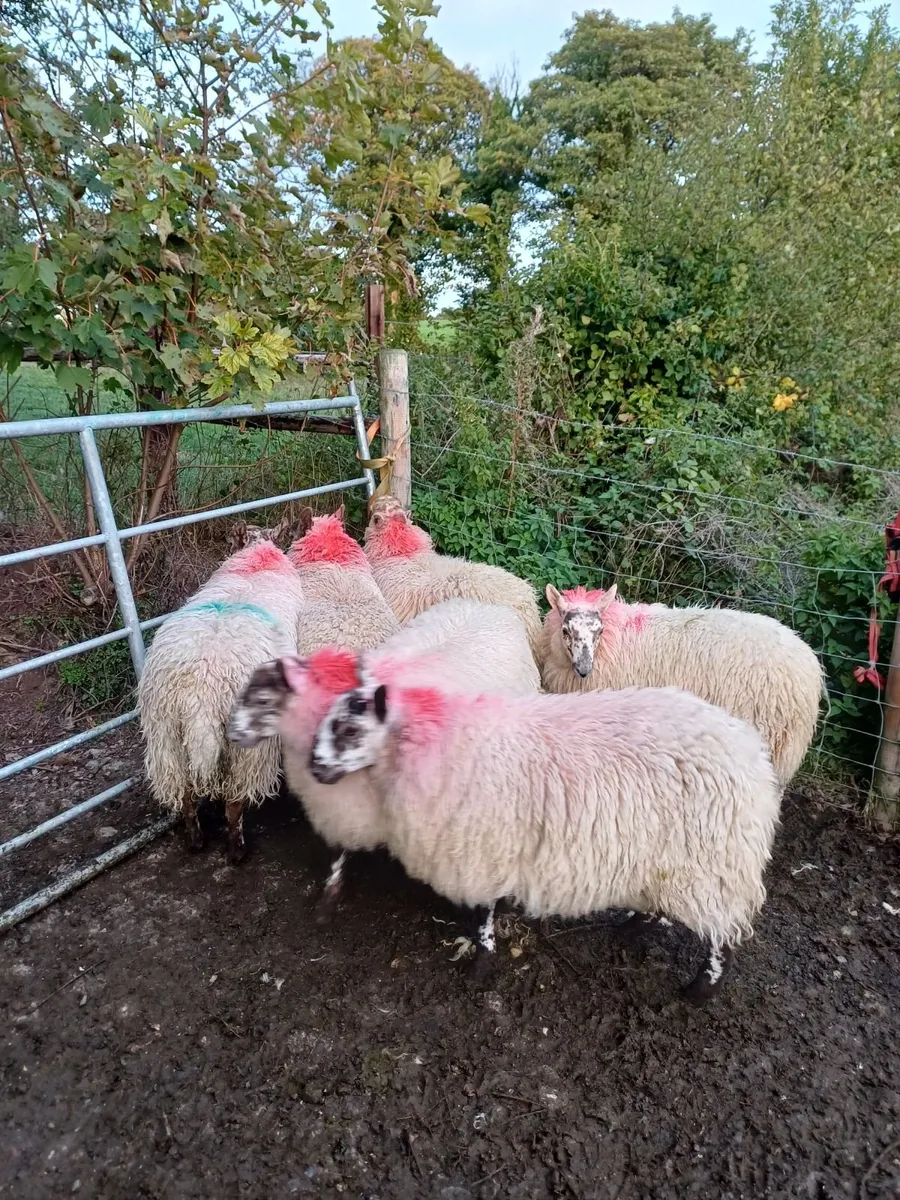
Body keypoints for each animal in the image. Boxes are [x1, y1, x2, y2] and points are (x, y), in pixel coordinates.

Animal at [138, 529, 307, 863]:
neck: (256, 560)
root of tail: (200, 693)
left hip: (165, 738)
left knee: (186, 798)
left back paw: (195, 841)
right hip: (248, 750)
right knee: (234, 803)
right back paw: (236, 851)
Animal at [227, 599, 541, 917]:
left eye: (263, 699)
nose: (232, 733)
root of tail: (491, 606)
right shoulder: (339, 808)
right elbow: (338, 851)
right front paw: (331, 892)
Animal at [307, 677, 781, 1002]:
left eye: (349, 729)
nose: (315, 768)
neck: (432, 741)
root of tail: (751, 753)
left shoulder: (480, 851)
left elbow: (482, 915)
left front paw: (480, 966)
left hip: (713, 863)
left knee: (723, 936)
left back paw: (699, 991)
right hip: (672, 858)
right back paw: (631, 927)